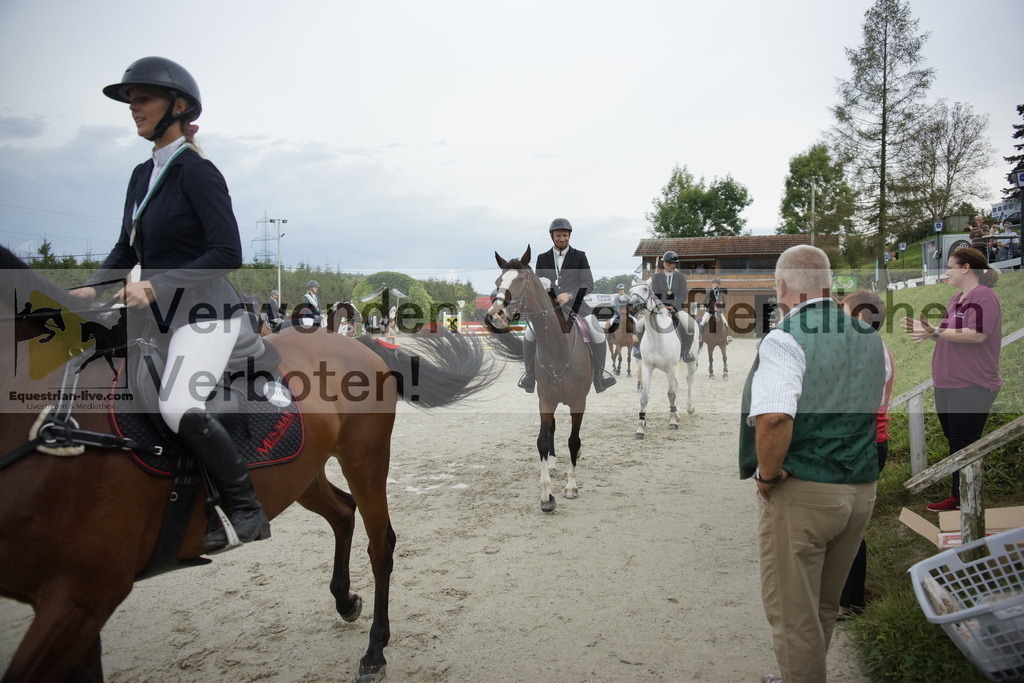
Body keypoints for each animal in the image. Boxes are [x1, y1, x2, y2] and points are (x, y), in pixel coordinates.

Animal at [0, 248, 495, 679]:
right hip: (300, 474)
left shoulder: (82, 597)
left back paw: (375, 651)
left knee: (381, 543)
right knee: (342, 512)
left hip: (365, 461)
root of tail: (358, 347)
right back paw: (344, 600)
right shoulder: (78, 605)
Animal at [483, 246, 589, 511]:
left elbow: (574, 441)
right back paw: (552, 462)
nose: (494, 317)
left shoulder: (578, 401)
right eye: (498, 281)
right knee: (552, 430)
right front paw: (546, 495)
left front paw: (571, 487)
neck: (558, 348)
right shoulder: (545, 400)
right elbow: (542, 440)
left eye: (521, 280)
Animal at [626, 280, 700, 440]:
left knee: (689, 381)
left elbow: (671, 394)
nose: (631, 305)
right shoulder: (647, 367)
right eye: (630, 291)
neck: (656, 336)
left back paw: (689, 408)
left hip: (690, 363)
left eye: (645, 289)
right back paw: (676, 412)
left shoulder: (671, 367)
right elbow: (644, 397)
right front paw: (640, 427)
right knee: (677, 384)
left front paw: (672, 423)